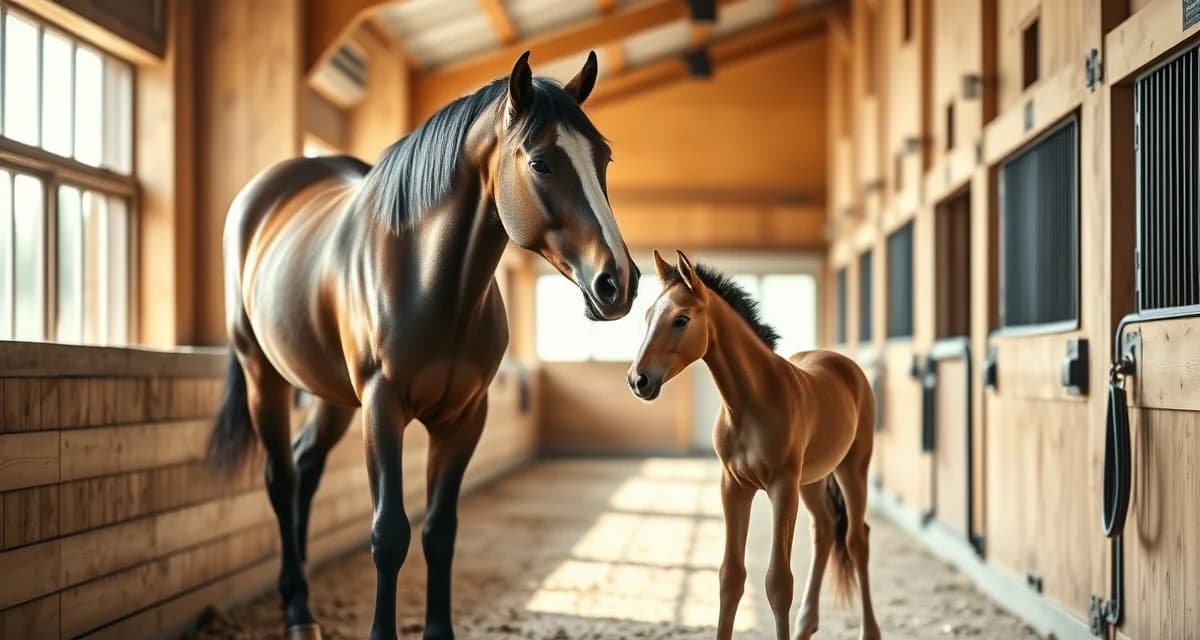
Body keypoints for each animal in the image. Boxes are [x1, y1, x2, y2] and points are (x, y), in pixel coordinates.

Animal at [207, 51, 639, 640]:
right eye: (541, 164)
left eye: (605, 159)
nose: (619, 282)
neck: (429, 280)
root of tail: (262, 195)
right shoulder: (382, 406)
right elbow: (389, 534)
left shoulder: (464, 417)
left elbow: (440, 531)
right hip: (263, 377)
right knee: (281, 476)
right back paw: (297, 611)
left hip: (333, 397)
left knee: (305, 469)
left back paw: (298, 599)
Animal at [627, 250, 880, 640]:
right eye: (648, 316)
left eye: (681, 319)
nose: (638, 380)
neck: (754, 400)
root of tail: (843, 364)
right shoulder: (734, 486)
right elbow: (730, 577)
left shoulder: (782, 487)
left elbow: (778, 582)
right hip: (811, 481)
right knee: (823, 530)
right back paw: (806, 626)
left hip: (852, 470)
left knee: (856, 540)